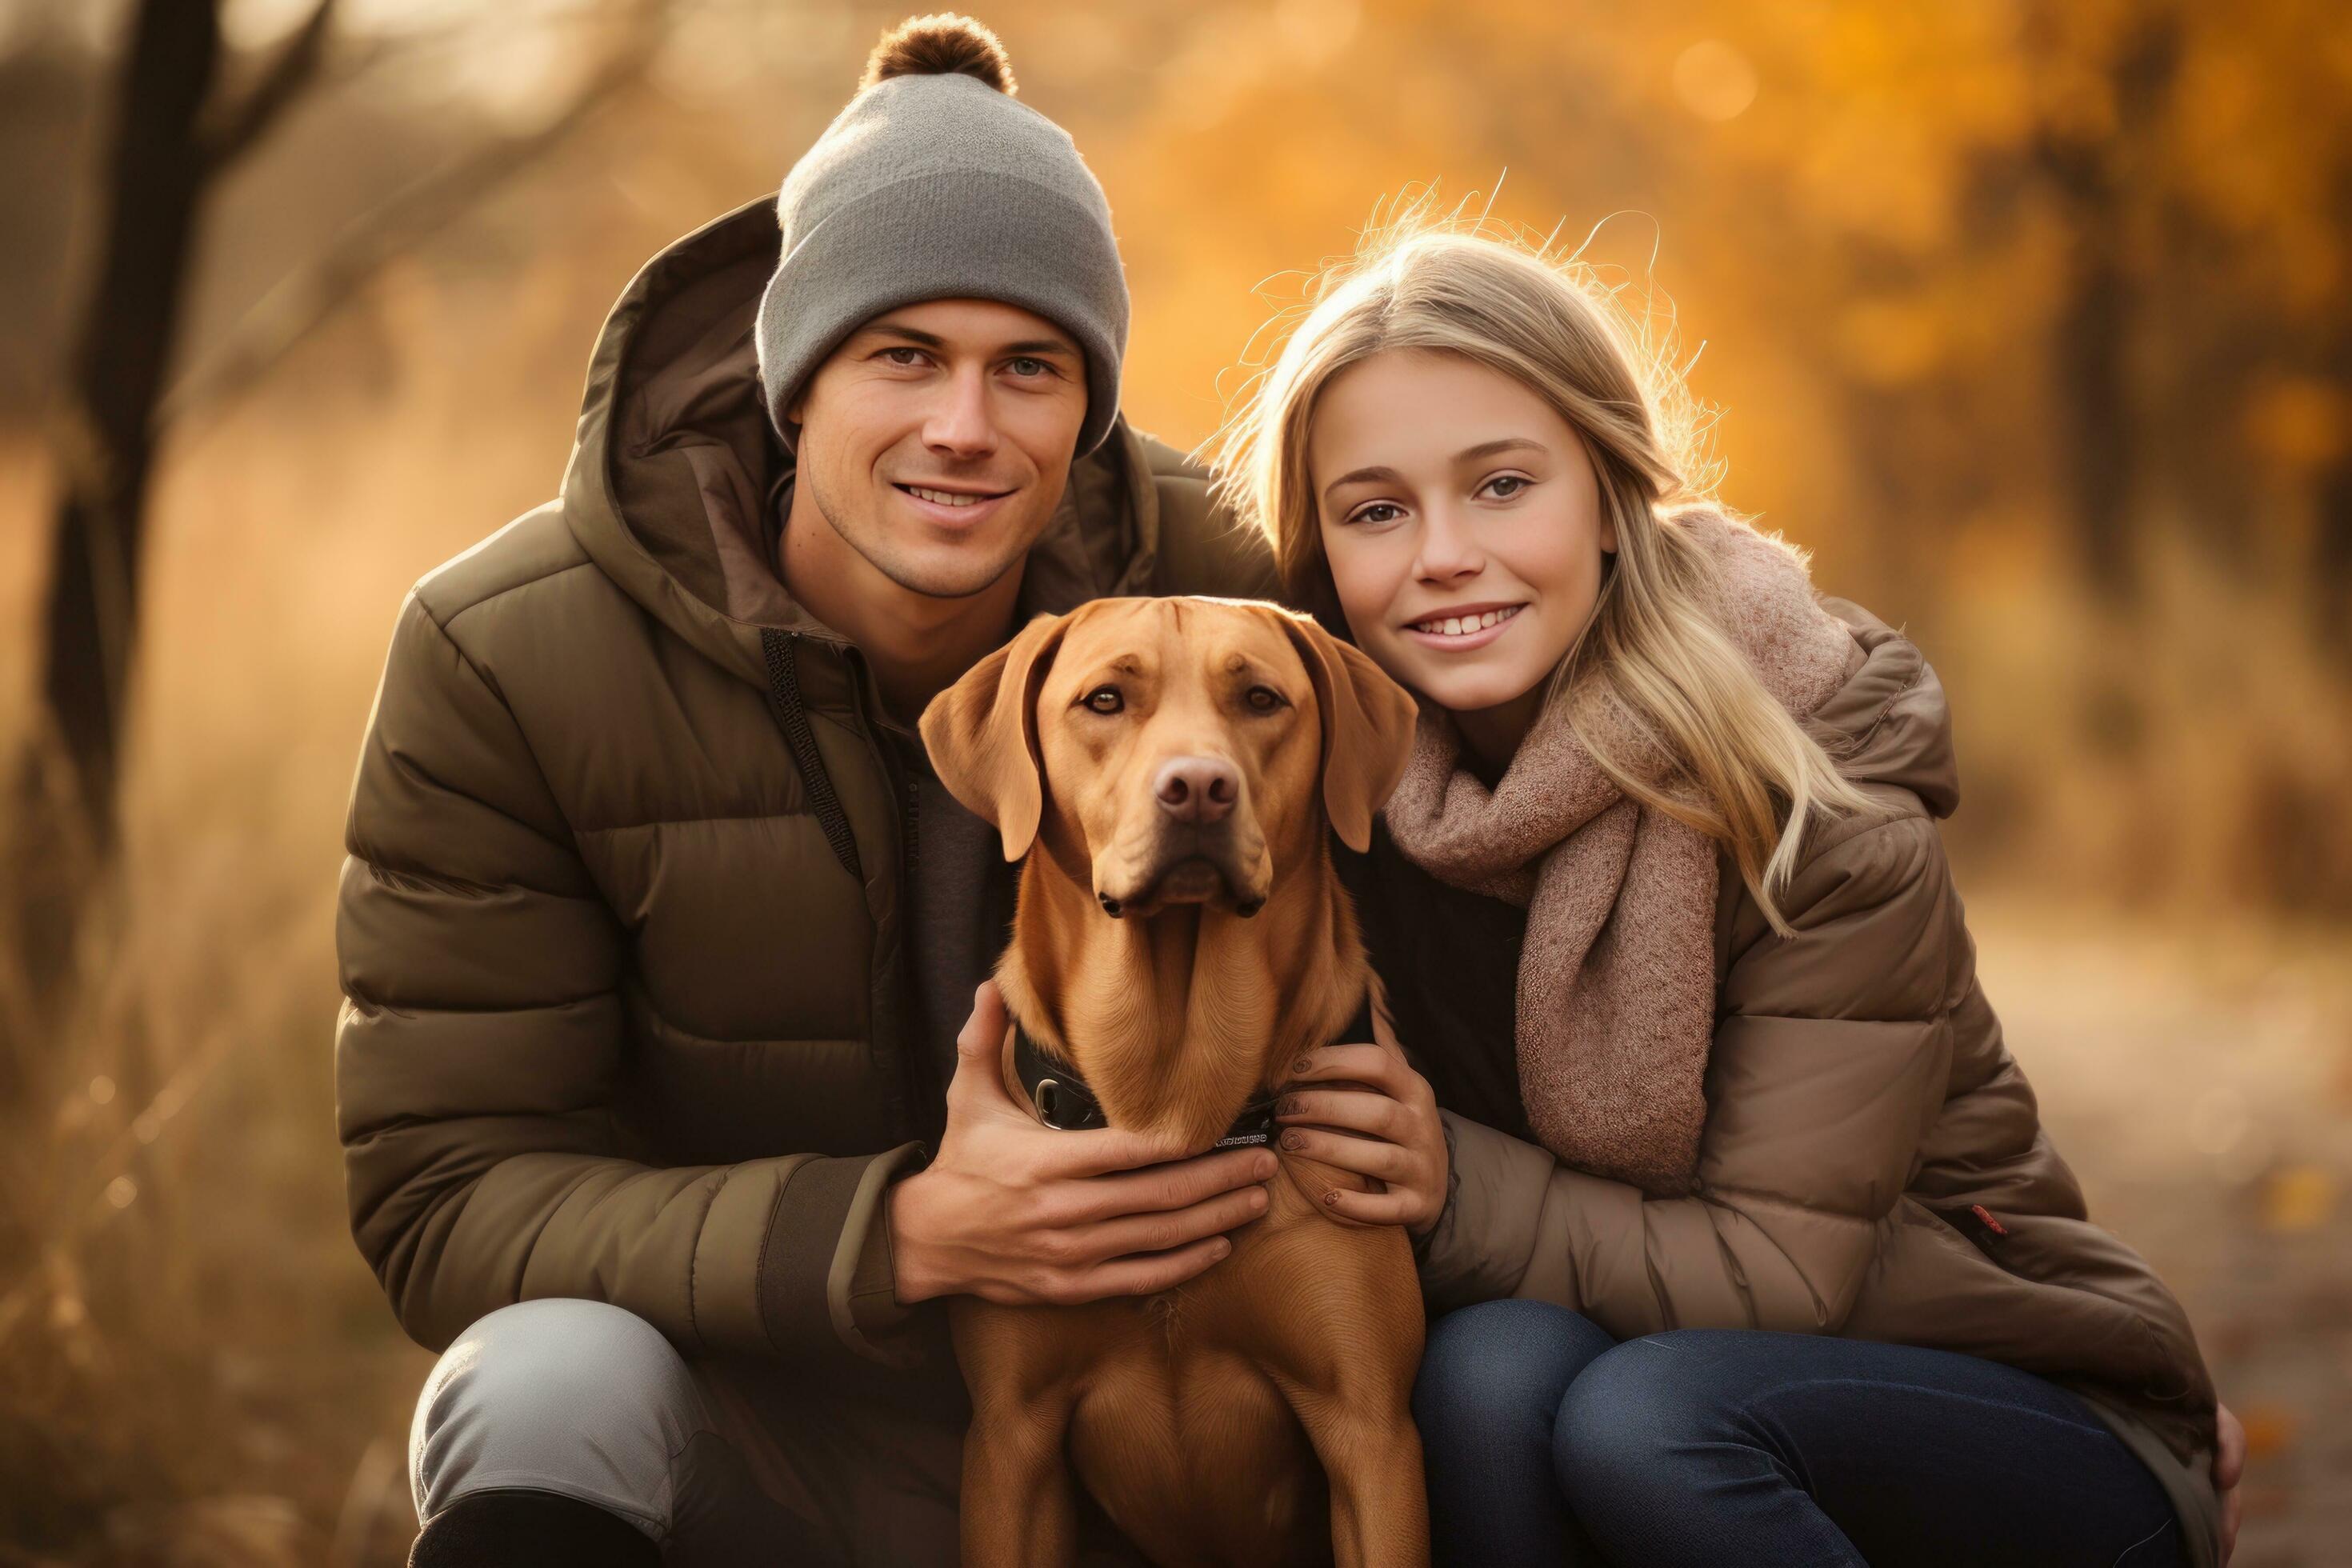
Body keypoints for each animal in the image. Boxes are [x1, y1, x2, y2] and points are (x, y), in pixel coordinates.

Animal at [917, 594, 1430, 1561]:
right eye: (1105, 700)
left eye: (1262, 698)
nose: (1198, 787)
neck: (1173, 1094)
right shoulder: (1010, 1439)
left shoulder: (1371, 1433)